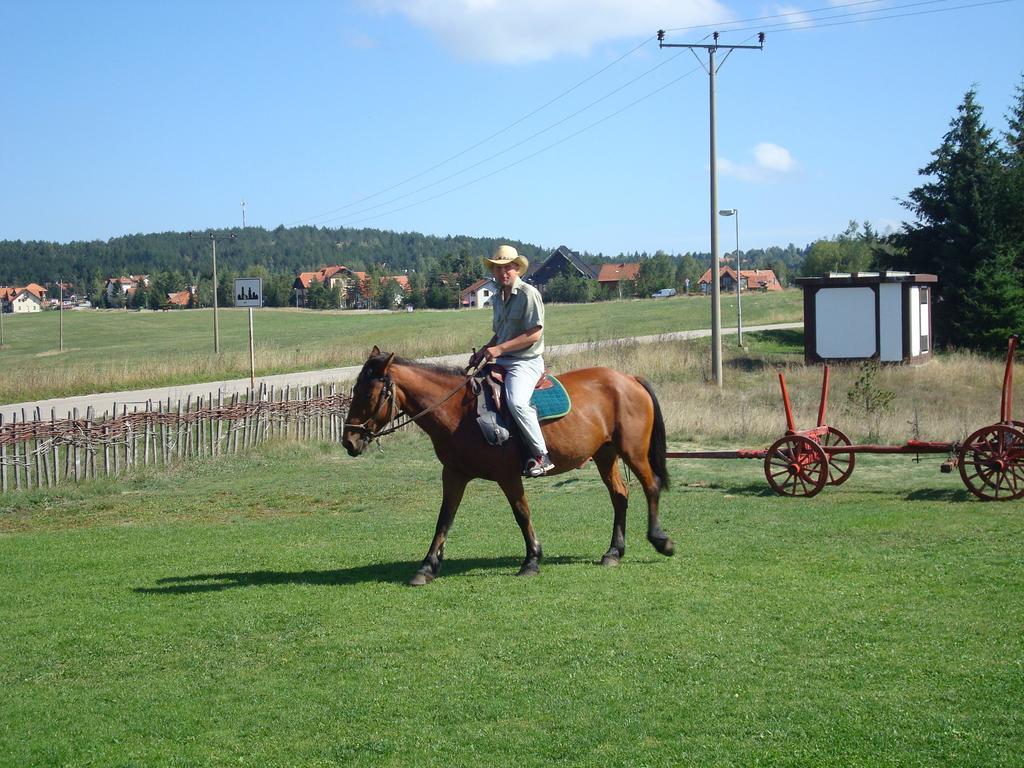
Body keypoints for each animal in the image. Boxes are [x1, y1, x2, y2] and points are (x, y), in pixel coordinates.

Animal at [342, 346, 671, 585]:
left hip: (633, 452)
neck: (460, 411)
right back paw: (614, 552)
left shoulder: (508, 475)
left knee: (650, 486)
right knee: (619, 495)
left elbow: (521, 514)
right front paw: (427, 567)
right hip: (605, 454)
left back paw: (661, 540)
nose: (349, 441)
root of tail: (629, 379)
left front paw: (532, 560)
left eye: (369, 394)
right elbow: (444, 519)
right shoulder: (454, 474)